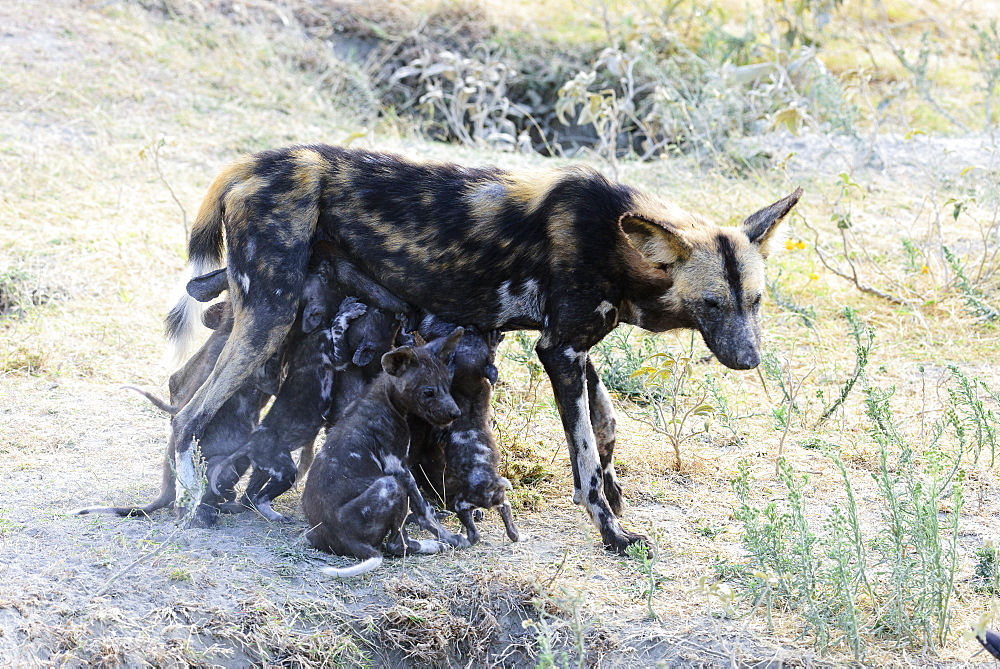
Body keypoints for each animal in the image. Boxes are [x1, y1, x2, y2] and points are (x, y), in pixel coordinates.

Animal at [302, 326, 470, 576]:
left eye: (447, 387)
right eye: (428, 392)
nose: (455, 414)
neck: (387, 399)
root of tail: (348, 540)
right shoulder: (398, 468)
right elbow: (425, 512)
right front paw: (450, 538)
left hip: (315, 533)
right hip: (391, 486)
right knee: (396, 545)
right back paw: (432, 545)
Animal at [408, 314, 520, 544]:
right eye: (471, 335)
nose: (468, 326)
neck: (467, 382)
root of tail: (490, 483)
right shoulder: (486, 383)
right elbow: (491, 365)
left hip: (463, 505)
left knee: (473, 531)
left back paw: (466, 539)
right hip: (501, 500)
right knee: (506, 511)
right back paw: (515, 535)